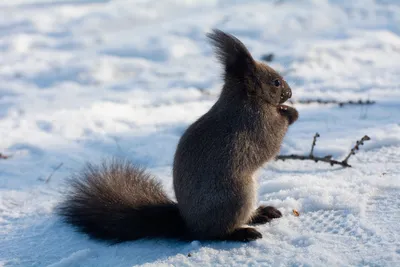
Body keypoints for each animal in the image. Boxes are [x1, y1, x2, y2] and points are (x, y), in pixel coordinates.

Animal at [57, 29, 298, 245]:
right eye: (276, 82)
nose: (290, 93)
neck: (245, 99)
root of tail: (189, 225)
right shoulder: (255, 124)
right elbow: (271, 142)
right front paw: (291, 113)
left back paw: (262, 213)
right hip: (237, 195)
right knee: (216, 233)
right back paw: (242, 232)